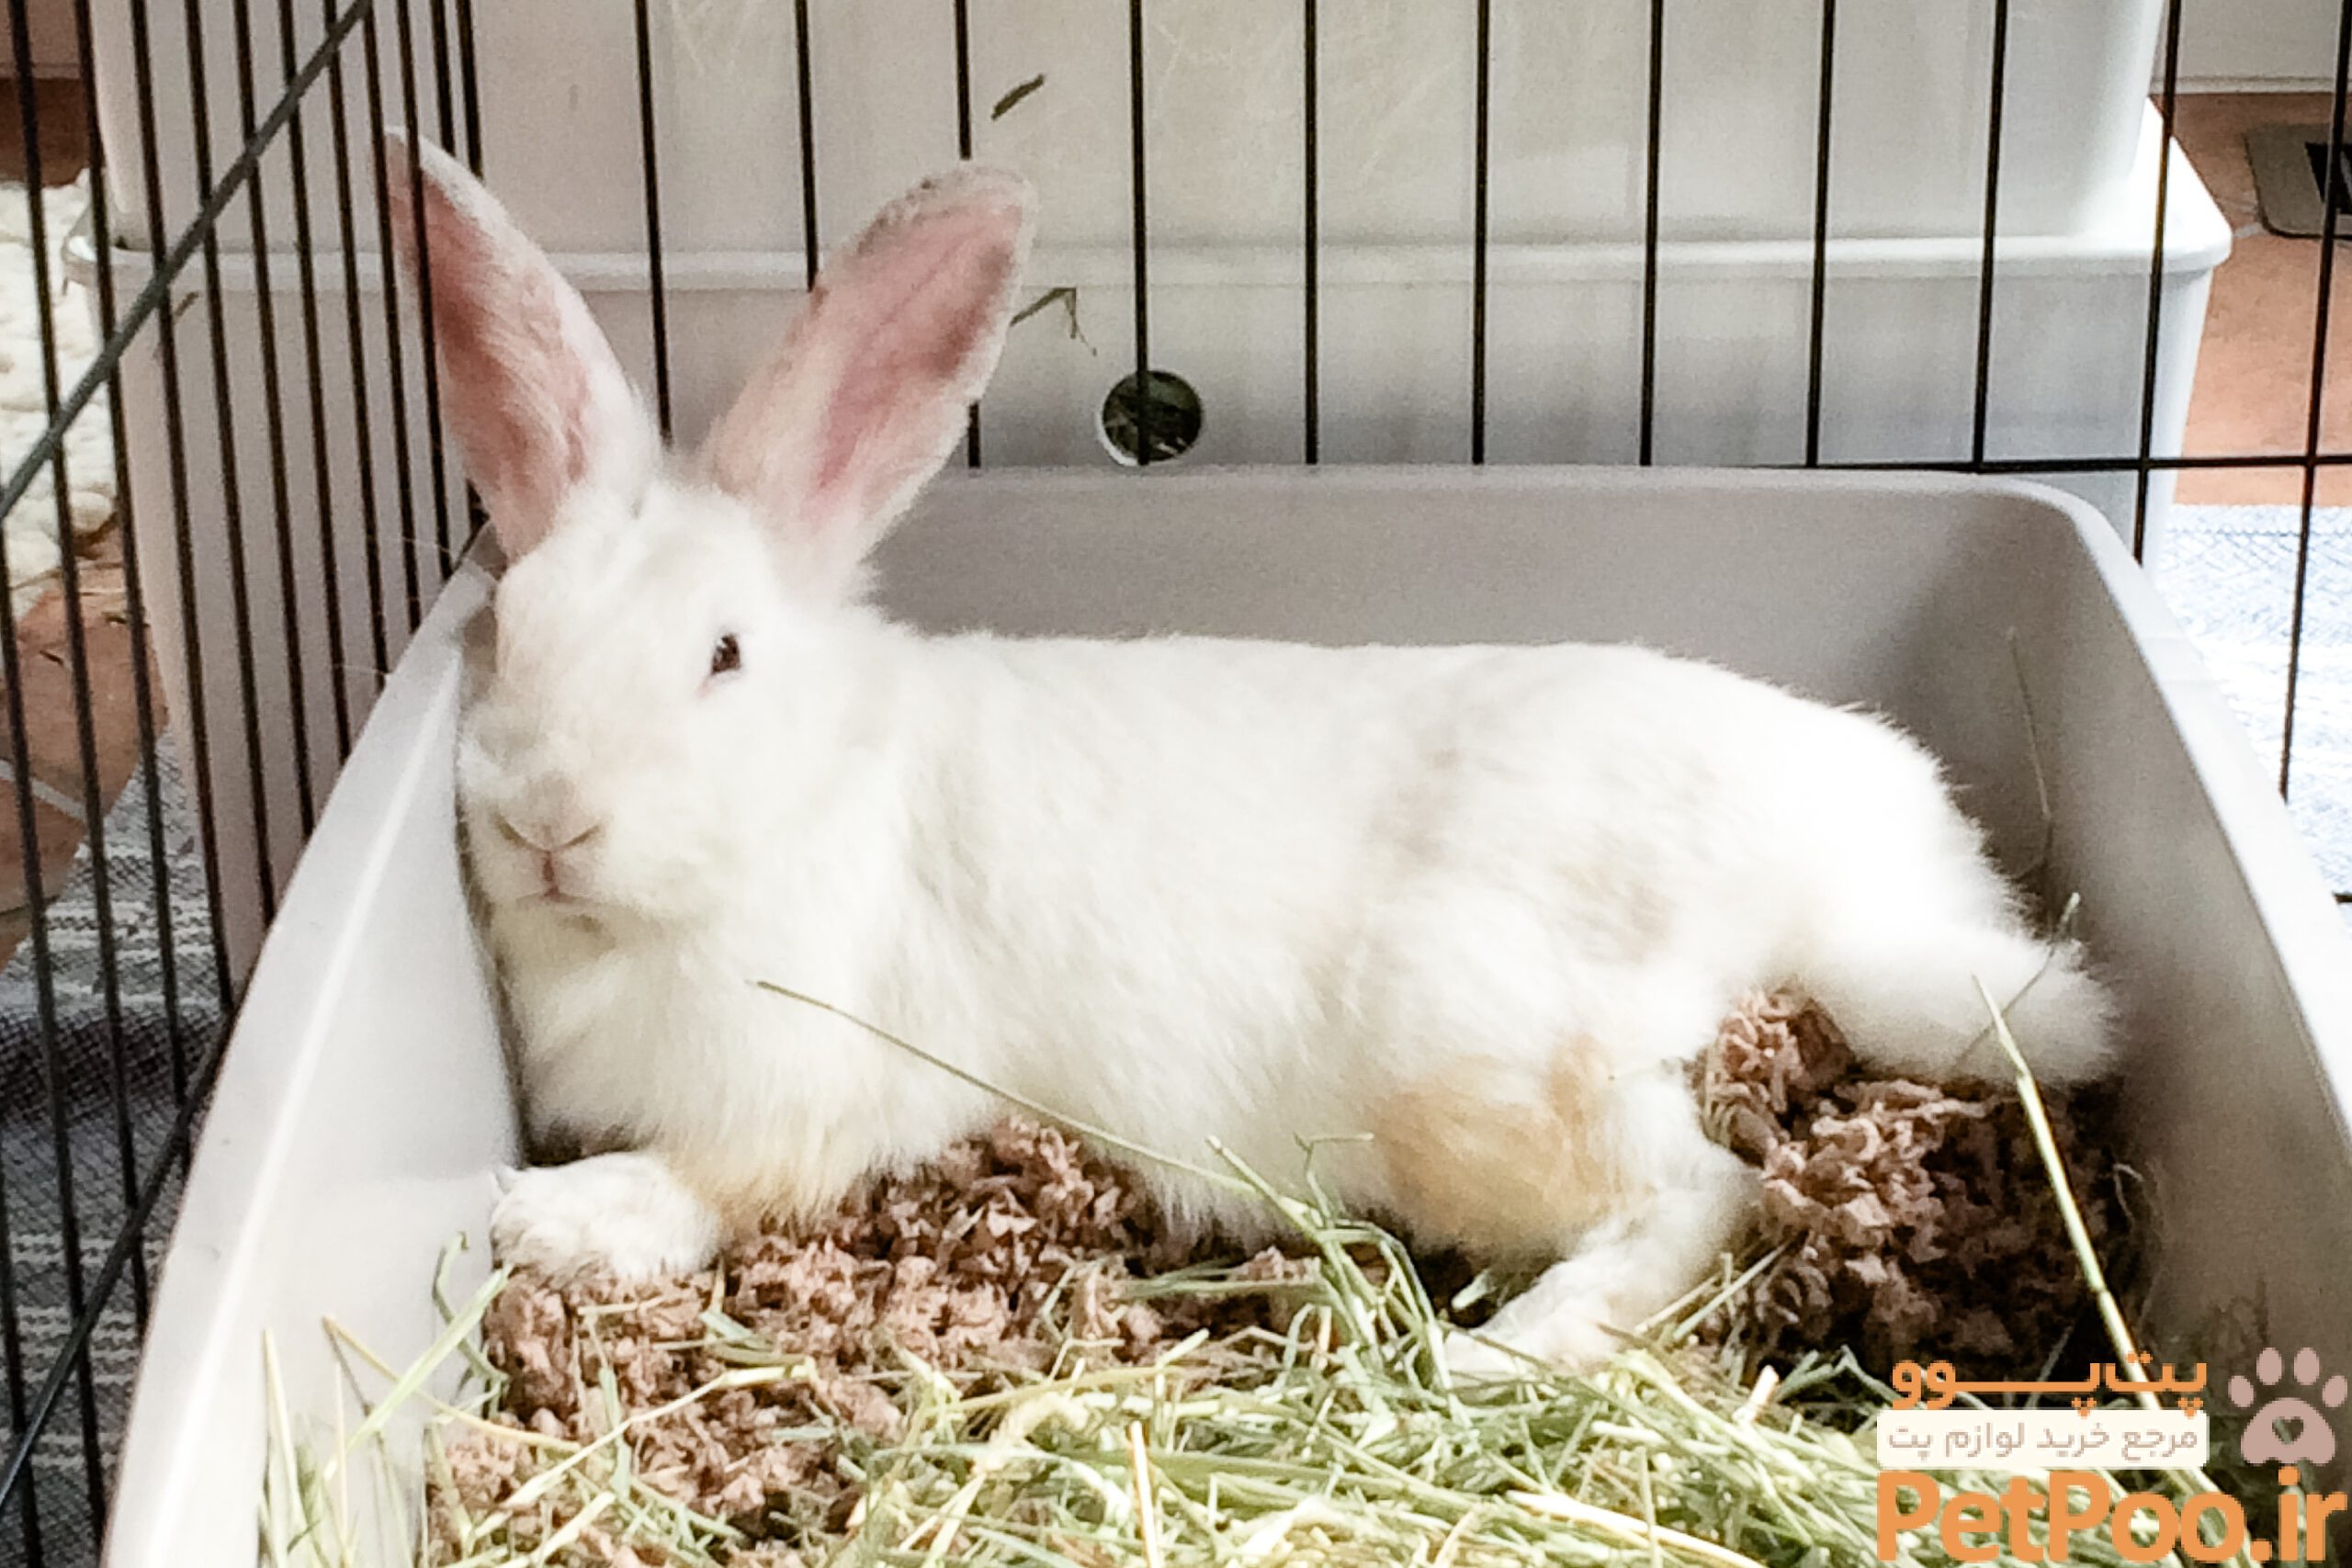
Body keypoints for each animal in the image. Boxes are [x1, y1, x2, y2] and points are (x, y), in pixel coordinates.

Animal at [385, 131, 2115, 1375]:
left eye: (724, 657)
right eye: (512, 634)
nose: (547, 824)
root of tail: (1838, 885)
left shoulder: (807, 1087)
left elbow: (715, 1182)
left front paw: (550, 1218)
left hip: (1473, 1065)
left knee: (1707, 1196)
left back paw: (1501, 1355)